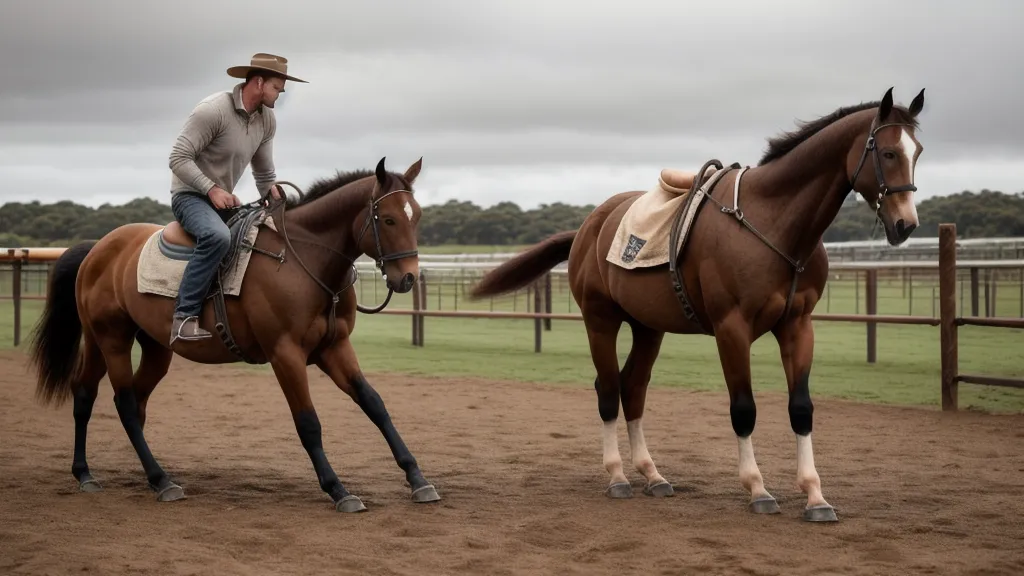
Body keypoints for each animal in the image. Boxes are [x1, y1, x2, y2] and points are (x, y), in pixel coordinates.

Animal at [27, 156, 442, 513]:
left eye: (417, 217)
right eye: (388, 219)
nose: (407, 278)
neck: (300, 259)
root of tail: (97, 248)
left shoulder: (334, 348)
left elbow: (374, 404)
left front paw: (417, 478)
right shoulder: (285, 354)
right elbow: (308, 423)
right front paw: (338, 489)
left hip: (147, 348)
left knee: (94, 395)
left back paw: (97, 474)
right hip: (111, 339)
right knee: (125, 403)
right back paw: (160, 481)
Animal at [470, 87, 926, 522]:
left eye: (917, 151)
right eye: (888, 152)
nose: (906, 225)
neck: (773, 222)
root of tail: (588, 226)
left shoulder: (798, 326)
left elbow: (801, 408)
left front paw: (815, 496)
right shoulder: (732, 329)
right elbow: (743, 409)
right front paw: (757, 489)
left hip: (648, 328)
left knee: (633, 388)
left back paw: (652, 475)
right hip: (600, 322)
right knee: (609, 389)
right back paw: (617, 477)